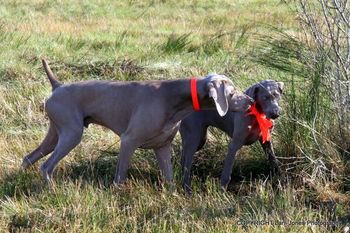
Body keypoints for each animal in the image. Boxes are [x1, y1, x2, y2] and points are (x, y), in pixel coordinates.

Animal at [21, 59, 252, 186]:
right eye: (231, 94)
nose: (250, 101)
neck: (175, 98)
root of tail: (57, 86)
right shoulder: (128, 141)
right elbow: (120, 177)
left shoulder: (162, 147)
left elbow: (170, 180)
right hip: (72, 134)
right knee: (46, 166)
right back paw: (52, 190)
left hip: (57, 133)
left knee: (28, 158)